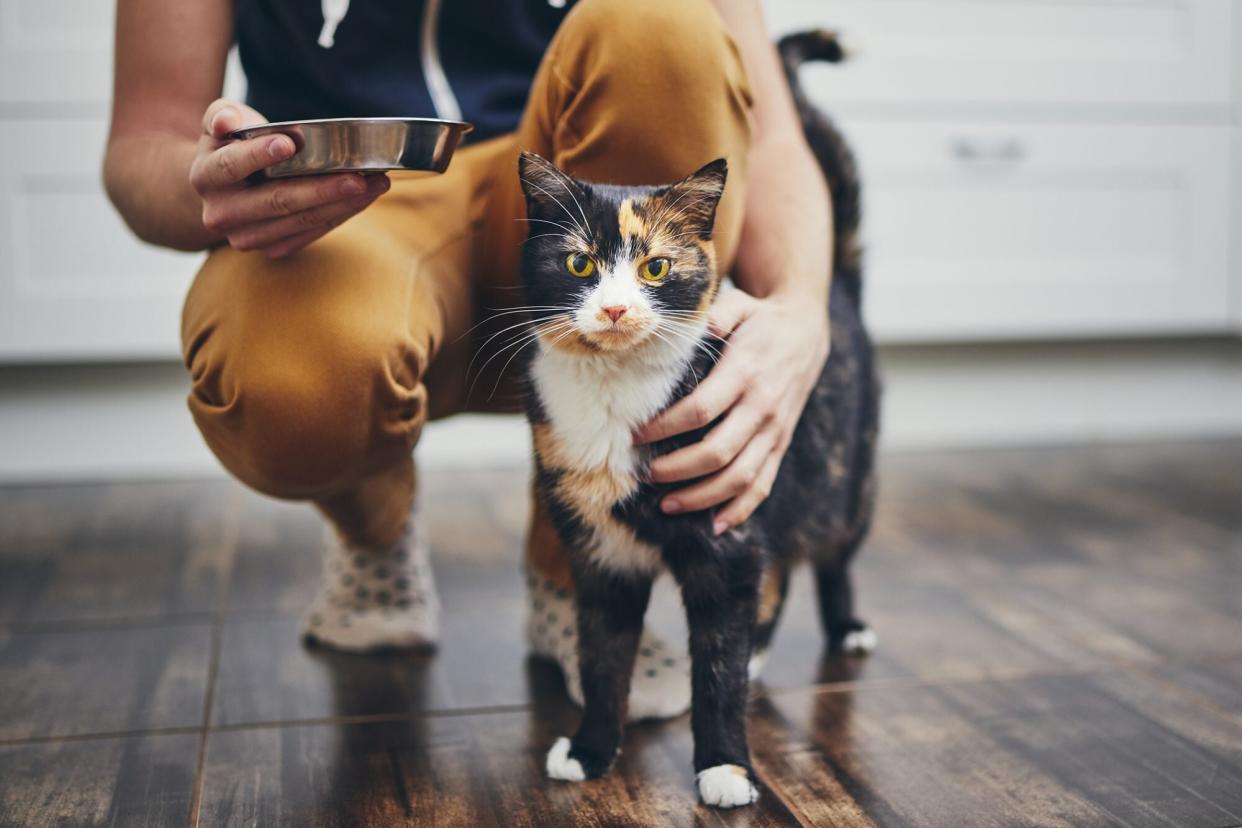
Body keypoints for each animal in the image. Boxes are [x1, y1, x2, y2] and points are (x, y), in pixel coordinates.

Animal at [511, 30, 874, 809]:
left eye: (655, 267)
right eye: (579, 264)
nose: (616, 308)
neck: (614, 393)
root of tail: (835, 287)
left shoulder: (725, 539)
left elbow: (716, 666)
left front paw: (726, 768)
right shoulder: (601, 553)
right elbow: (602, 657)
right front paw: (590, 750)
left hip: (844, 478)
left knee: (830, 555)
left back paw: (846, 626)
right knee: (782, 571)